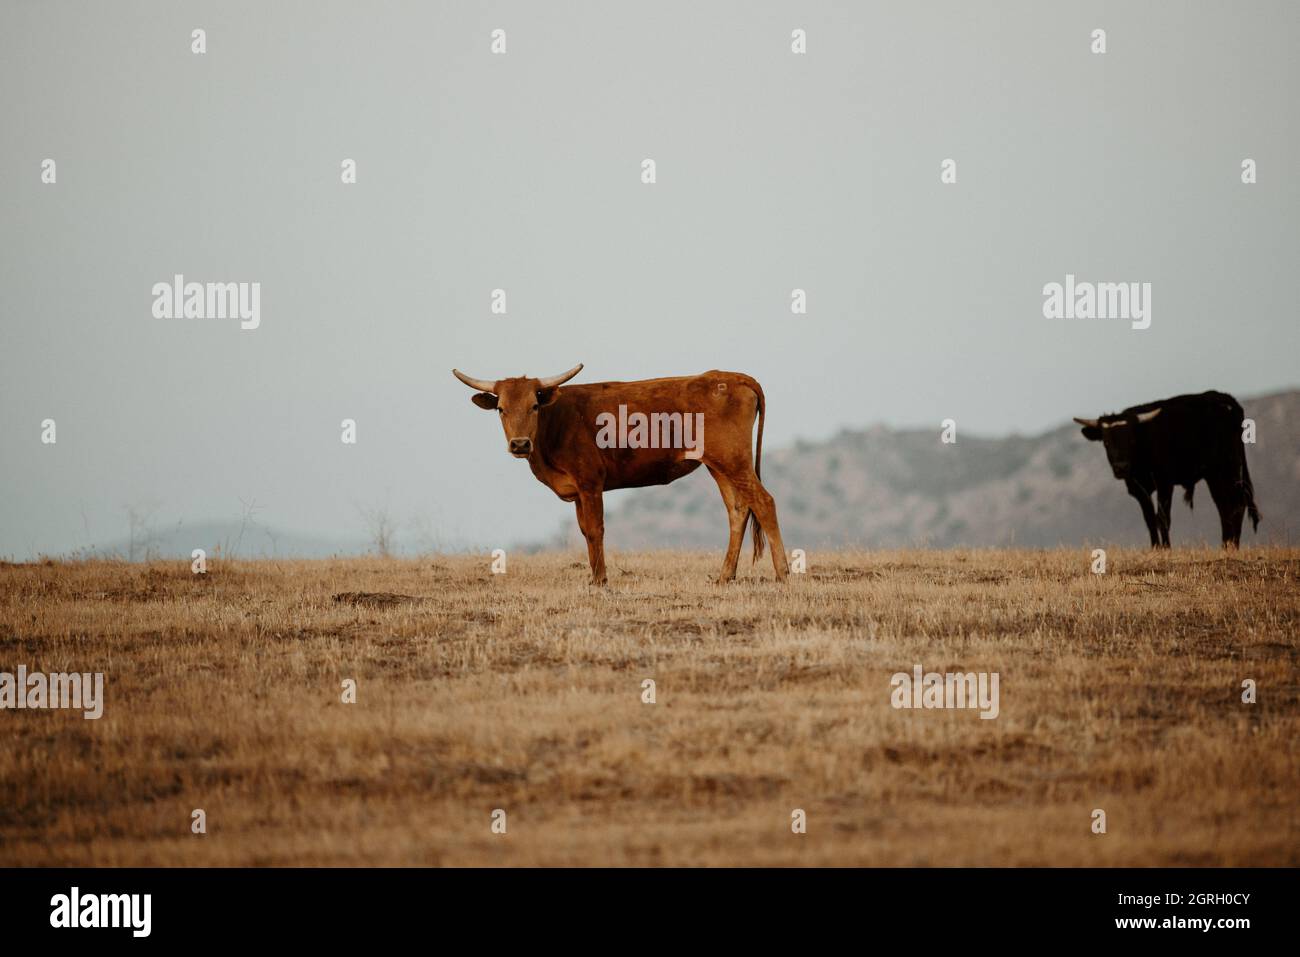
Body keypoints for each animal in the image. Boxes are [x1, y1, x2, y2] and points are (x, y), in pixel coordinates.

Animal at [453, 364, 790, 584]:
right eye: (501, 409)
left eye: (534, 406)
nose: (520, 443)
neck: (555, 423)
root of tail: (731, 377)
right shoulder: (579, 491)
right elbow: (585, 531)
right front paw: (594, 577)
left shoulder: (590, 482)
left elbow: (596, 529)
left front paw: (600, 580)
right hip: (719, 464)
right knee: (738, 509)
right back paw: (724, 576)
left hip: (733, 459)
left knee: (764, 502)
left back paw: (783, 573)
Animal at [1074, 390, 1260, 548]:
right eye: (1106, 442)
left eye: (1131, 440)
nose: (1121, 467)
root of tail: (1227, 400)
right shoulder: (1139, 489)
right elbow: (1149, 518)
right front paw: (1156, 548)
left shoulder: (1164, 483)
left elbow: (1162, 517)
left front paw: (1166, 548)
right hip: (1215, 474)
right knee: (1225, 505)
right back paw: (1227, 545)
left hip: (1226, 467)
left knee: (1236, 503)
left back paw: (1231, 546)